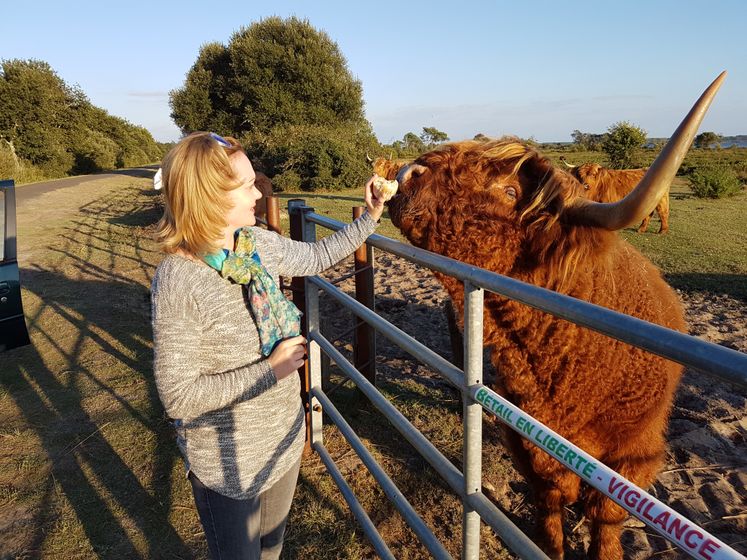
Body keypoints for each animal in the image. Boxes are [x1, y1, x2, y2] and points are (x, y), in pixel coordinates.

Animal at [386, 75, 724, 560]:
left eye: (510, 192)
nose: (408, 173)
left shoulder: (633, 452)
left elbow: (606, 513)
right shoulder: (525, 436)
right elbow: (549, 500)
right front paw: (551, 544)